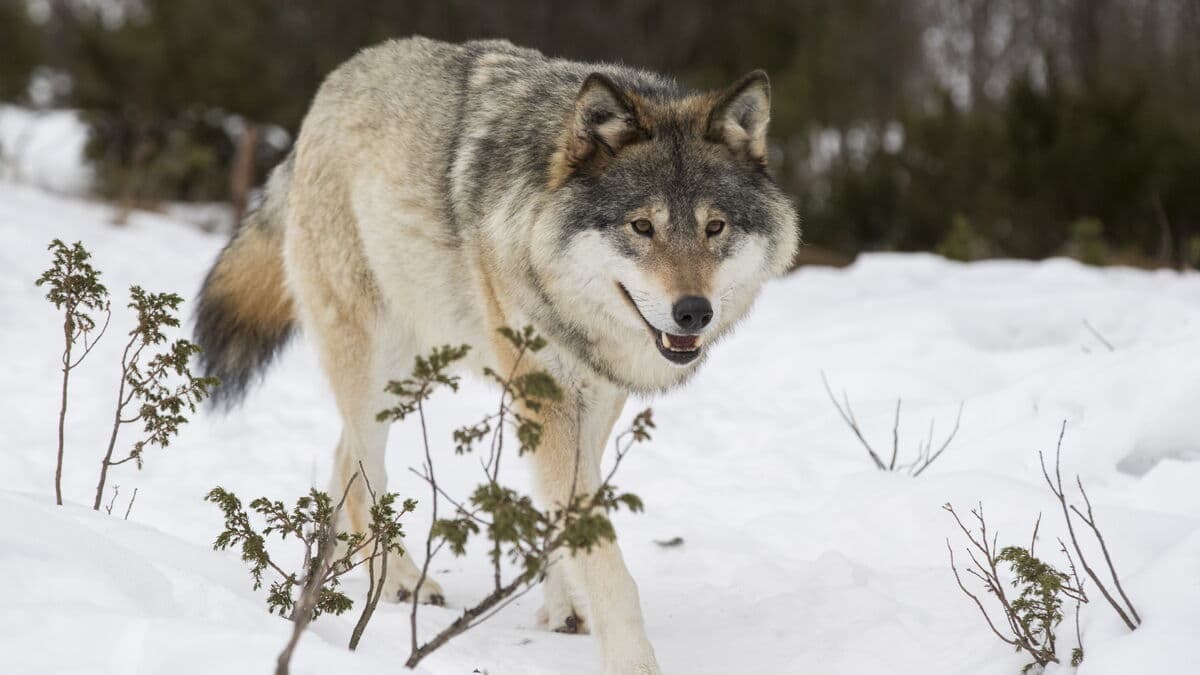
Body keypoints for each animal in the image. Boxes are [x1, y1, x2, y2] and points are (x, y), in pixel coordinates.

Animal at [195, 37, 797, 674]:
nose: (693, 312)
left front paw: (563, 607)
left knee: (340, 459)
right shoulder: (549, 398)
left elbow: (567, 518)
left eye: (715, 227)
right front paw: (633, 661)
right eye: (641, 227)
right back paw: (398, 581)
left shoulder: (595, 399)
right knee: (363, 471)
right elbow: (604, 559)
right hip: (376, 369)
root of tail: (335, 83)